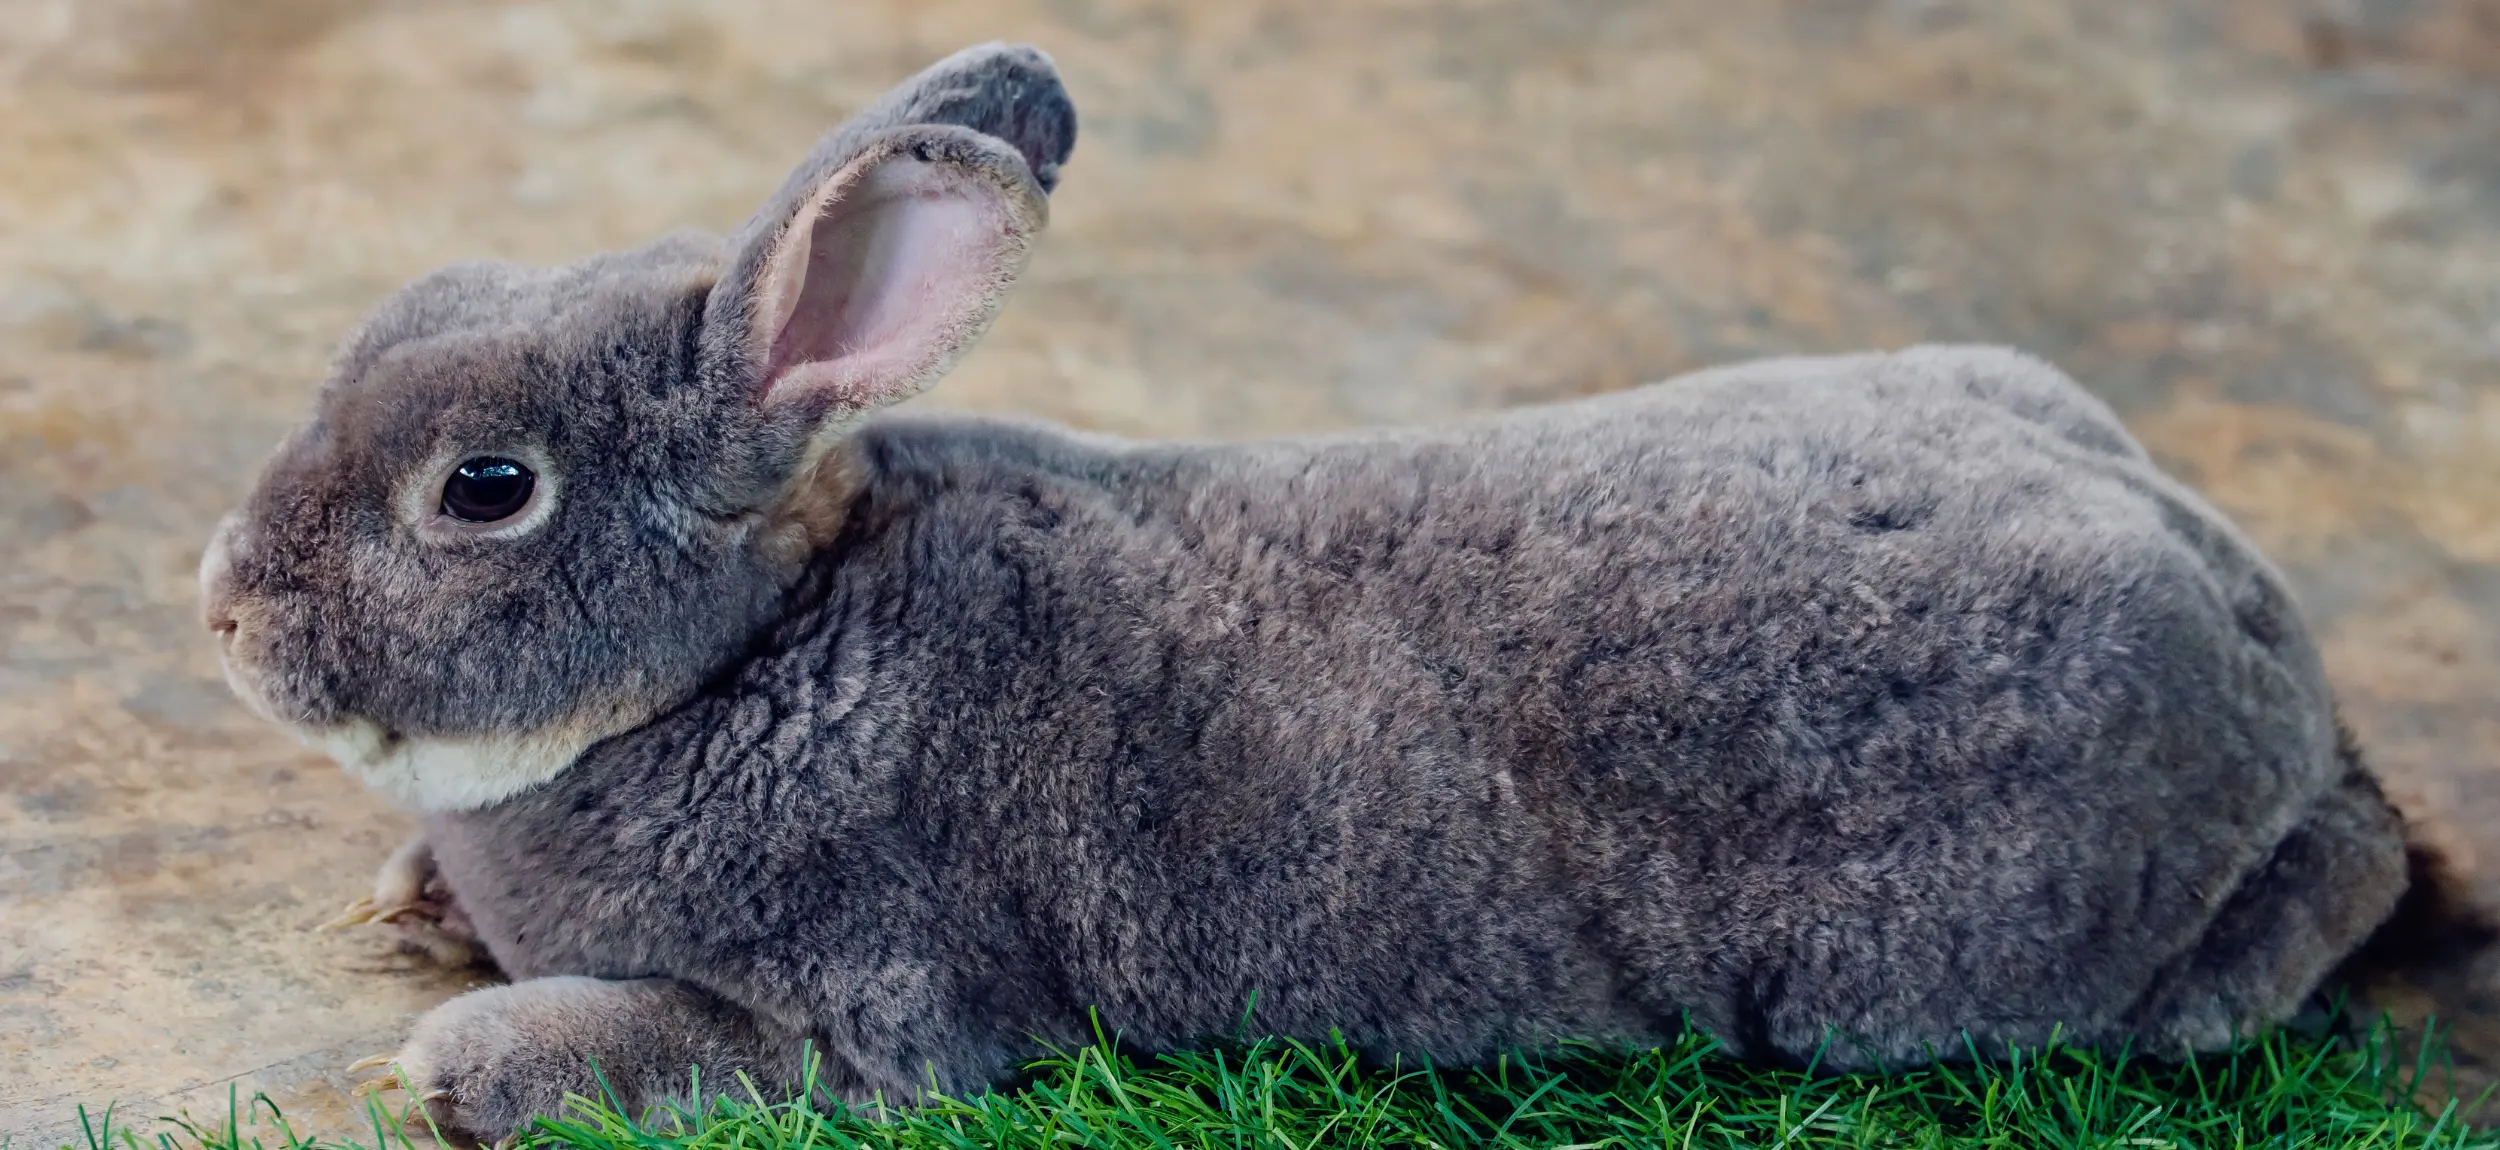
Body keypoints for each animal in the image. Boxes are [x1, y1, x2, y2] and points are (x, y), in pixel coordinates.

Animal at [200, 40, 2480, 1145]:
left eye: (483, 489)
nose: (218, 609)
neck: (748, 653)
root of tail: (2259, 635)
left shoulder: (874, 1018)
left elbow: (681, 1052)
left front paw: (447, 1061)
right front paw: (404, 906)